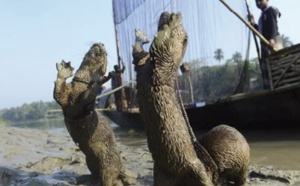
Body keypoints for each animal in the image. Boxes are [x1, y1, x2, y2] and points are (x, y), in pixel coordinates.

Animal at [53, 43, 123, 185]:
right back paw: (83, 179)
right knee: (95, 175)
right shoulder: (67, 95)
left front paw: (103, 79)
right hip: (89, 160)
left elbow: (88, 98)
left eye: (106, 54)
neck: (80, 86)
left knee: (108, 178)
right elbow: (59, 93)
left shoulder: (85, 105)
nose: (101, 44)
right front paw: (64, 70)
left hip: (109, 163)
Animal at [135, 12, 250, 185]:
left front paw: (173, 21)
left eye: (167, 16)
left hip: (197, 169)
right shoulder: (143, 68)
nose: (165, 13)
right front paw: (140, 36)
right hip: (160, 172)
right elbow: (138, 55)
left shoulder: (162, 60)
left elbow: (162, 40)